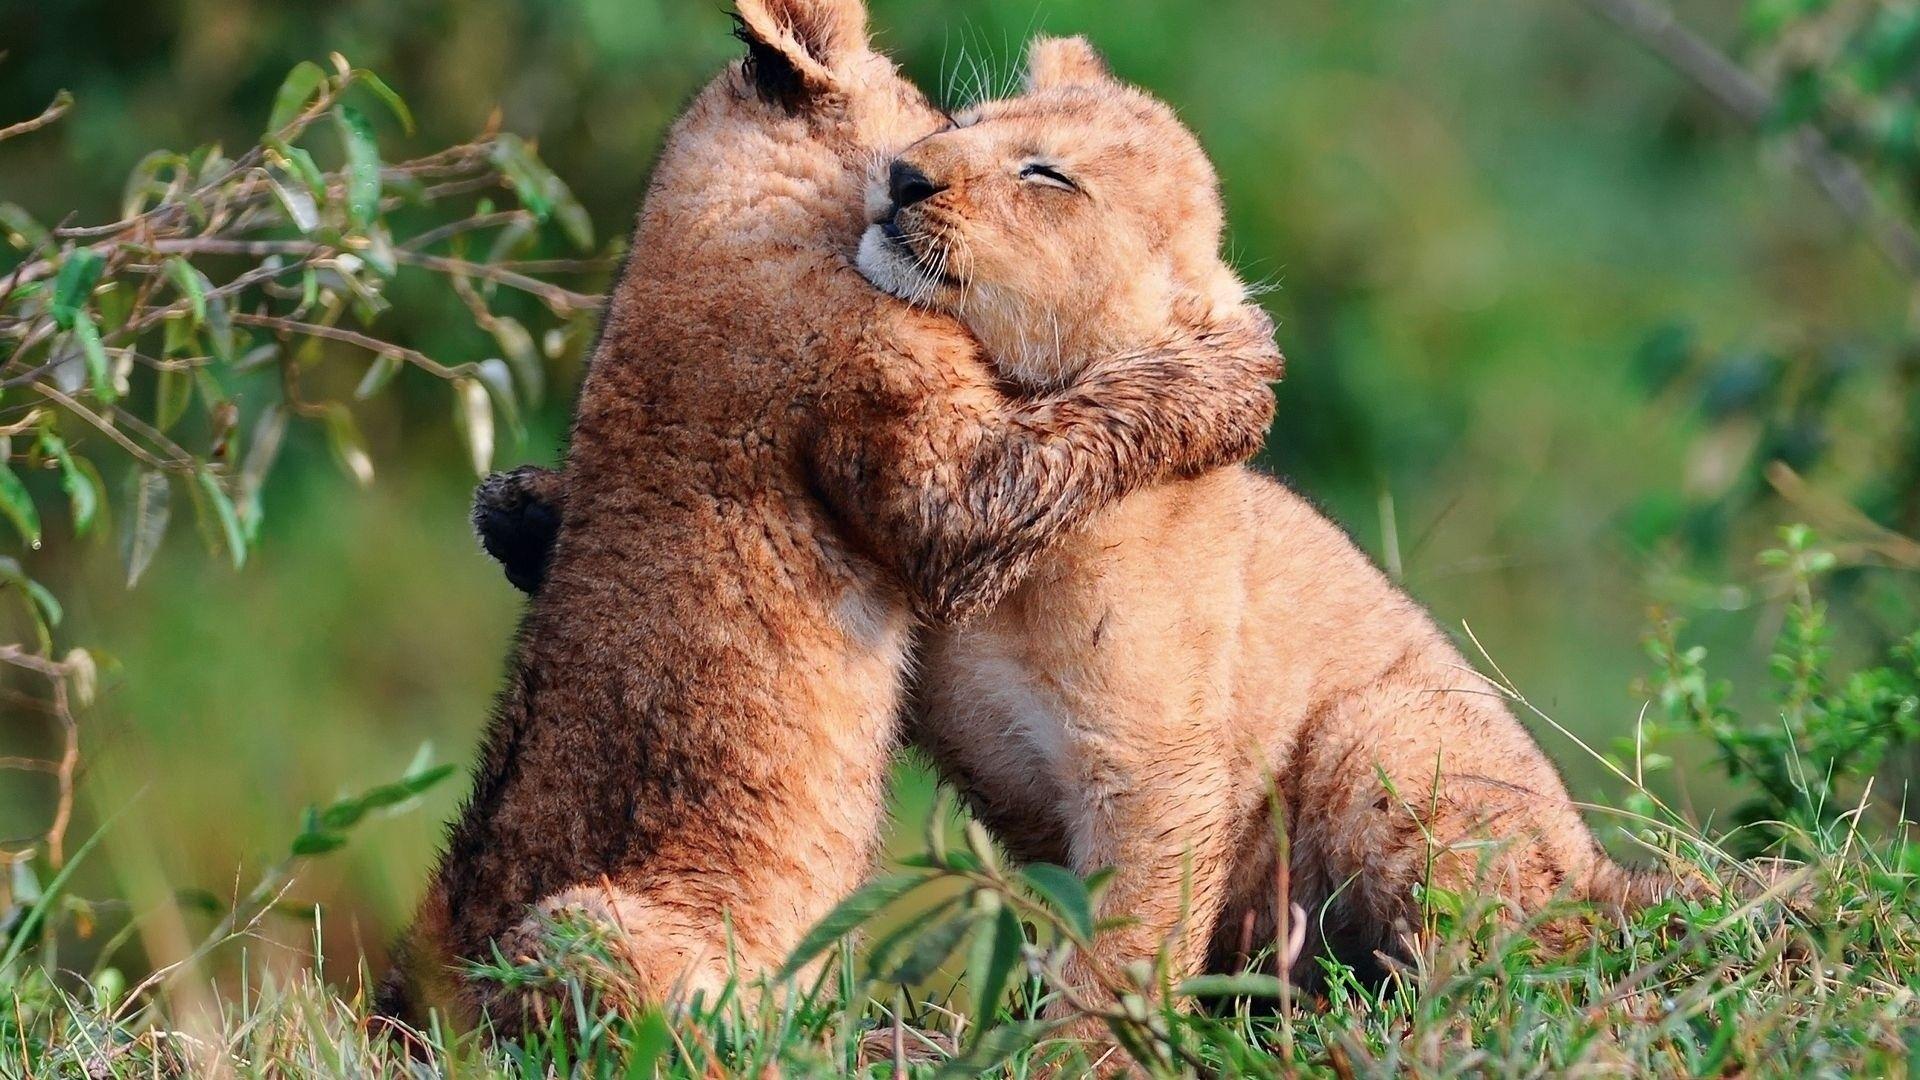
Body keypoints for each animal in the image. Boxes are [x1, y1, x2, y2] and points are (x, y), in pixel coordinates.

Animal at [378, 0, 1282, 1029]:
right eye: (949, 118)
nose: (911, 175)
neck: (708, 206)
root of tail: (414, 1020)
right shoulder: (941, 475)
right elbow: (1089, 425)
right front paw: (1239, 366)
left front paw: (523, 508)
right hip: (580, 930)